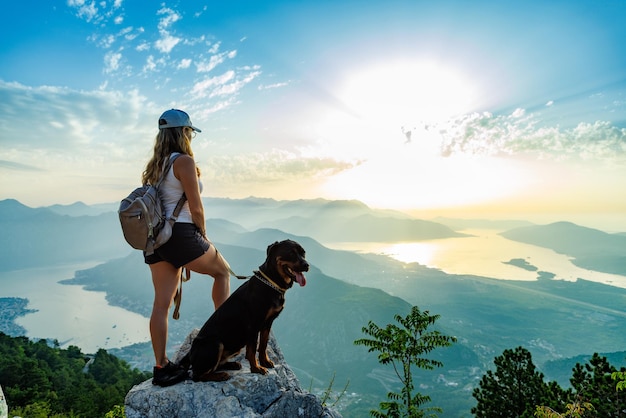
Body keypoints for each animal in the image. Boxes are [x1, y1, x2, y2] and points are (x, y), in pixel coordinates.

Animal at [179, 240, 308, 380]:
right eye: (291, 253)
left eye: (303, 253)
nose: (306, 265)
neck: (271, 282)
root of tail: (190, 354)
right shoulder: (253, 325)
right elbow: (252, 350)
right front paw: (256, 368)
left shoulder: (267, 323)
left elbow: (263, 345)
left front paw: (265, 362)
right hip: (215, 344)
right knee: (197, 375)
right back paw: (221, 375)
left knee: (214, 366)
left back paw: (232, 365)